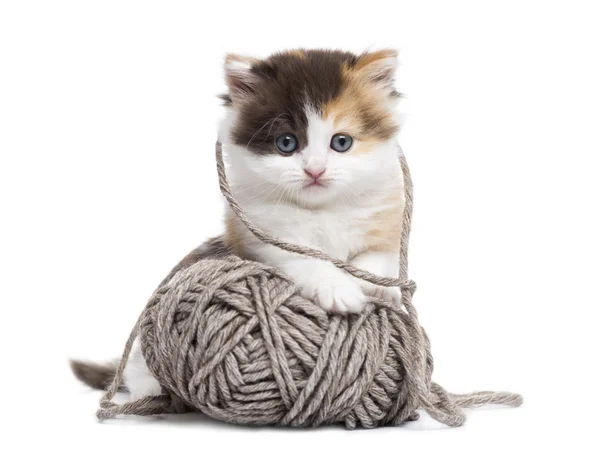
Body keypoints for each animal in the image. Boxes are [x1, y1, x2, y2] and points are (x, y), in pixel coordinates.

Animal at [72, 49, 406, 400]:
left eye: (341, 142)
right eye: (286, 143)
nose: (315, 171)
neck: (320, 210)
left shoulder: (385, 224)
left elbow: (377, 259)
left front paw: (376, 289)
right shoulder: (260, 237)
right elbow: (307, 259)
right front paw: (338, 289)